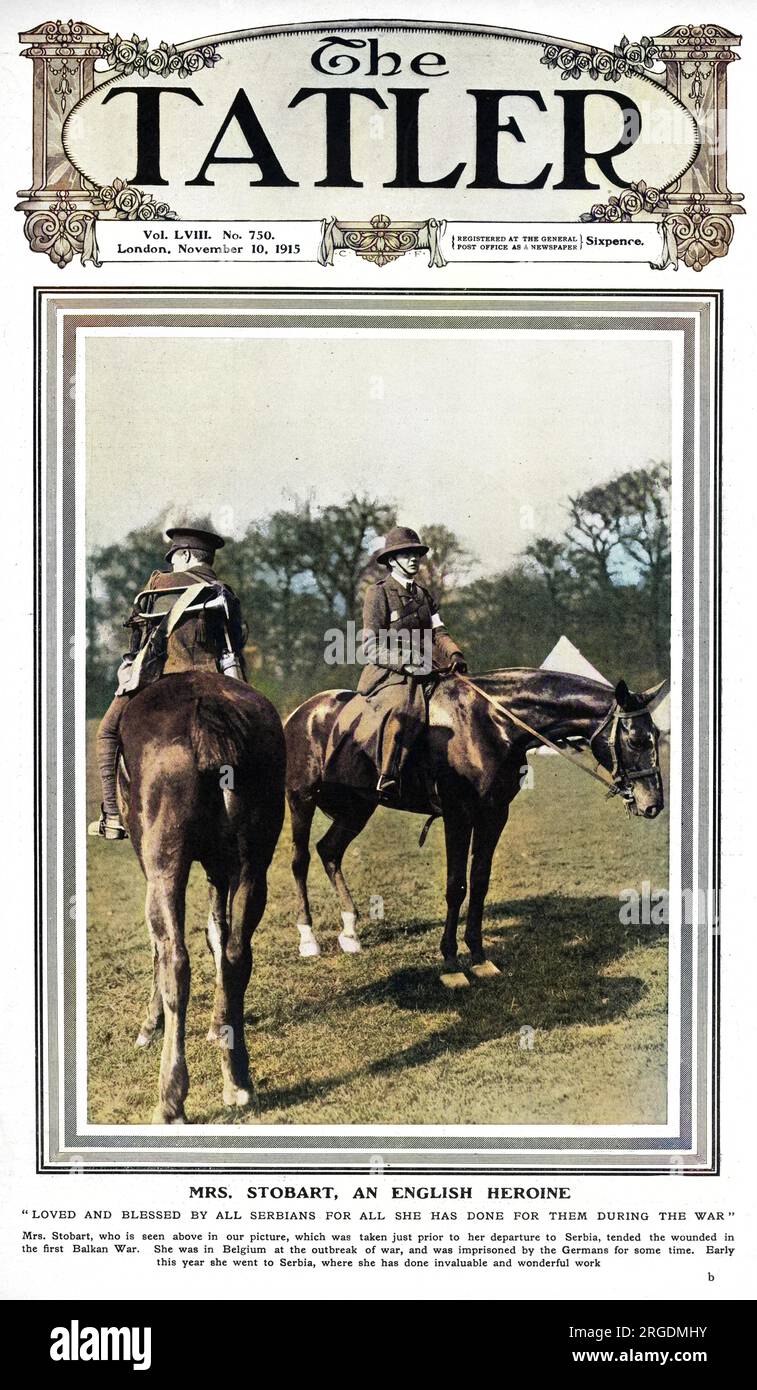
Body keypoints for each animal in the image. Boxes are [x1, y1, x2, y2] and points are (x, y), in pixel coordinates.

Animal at [116, 667, 284, 1123]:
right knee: (238, 954)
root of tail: (207, 706)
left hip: (165, 866)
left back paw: (170, 1099)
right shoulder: (220, 869)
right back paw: (238, 1081)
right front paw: (216, 1025)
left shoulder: (153, 867)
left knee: (175, 958)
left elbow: (160, 949)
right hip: (251, 865)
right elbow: (217, 934)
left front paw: (149, 1026)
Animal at [281, 669, 661, 989]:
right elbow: (456, 886)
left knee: (330, 851)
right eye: (636, 740)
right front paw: (450, 963)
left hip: (359, 806)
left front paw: (478, 957)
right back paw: (308, 938)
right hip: (301, 798)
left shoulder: (494, 814)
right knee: (300, 861)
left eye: (657, 734)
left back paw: (350, 932)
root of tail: (301, 712)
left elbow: (479, 882)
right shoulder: (458, 815)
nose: (653, 804)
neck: (488, 725)